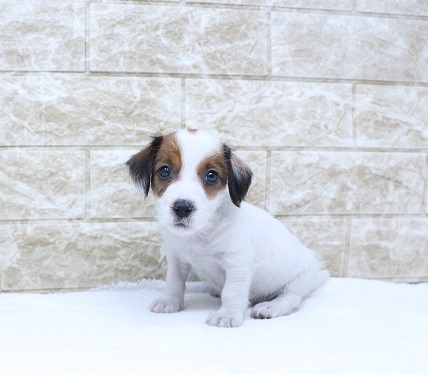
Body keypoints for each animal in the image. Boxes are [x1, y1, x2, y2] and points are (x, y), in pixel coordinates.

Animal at [125, 130, 330, 328]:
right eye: (164, 170)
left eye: (211, 175)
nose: (182, 207)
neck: (201, 233)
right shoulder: (176, 257)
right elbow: (174, 282)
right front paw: (169, 302)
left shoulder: (237, 262)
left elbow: (232, 292)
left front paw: (227, 315)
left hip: (299, 281)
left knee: (291, 298)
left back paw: (269, 307)